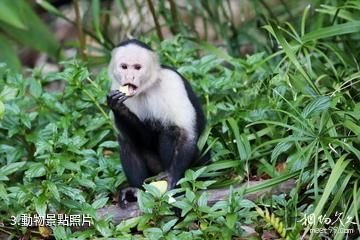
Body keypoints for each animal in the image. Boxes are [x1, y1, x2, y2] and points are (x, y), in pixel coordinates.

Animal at [105, 39, 210, 206]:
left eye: (137, 67)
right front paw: (118, 107)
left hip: (201, 163)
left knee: (171, 131)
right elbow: (141, 138)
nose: (129, 76)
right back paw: (137, 190)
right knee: (127, 141)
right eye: (124, 67)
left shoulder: (172, 82)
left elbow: (186, 134)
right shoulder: (115, 86)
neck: (146, 87)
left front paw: (172, 177)